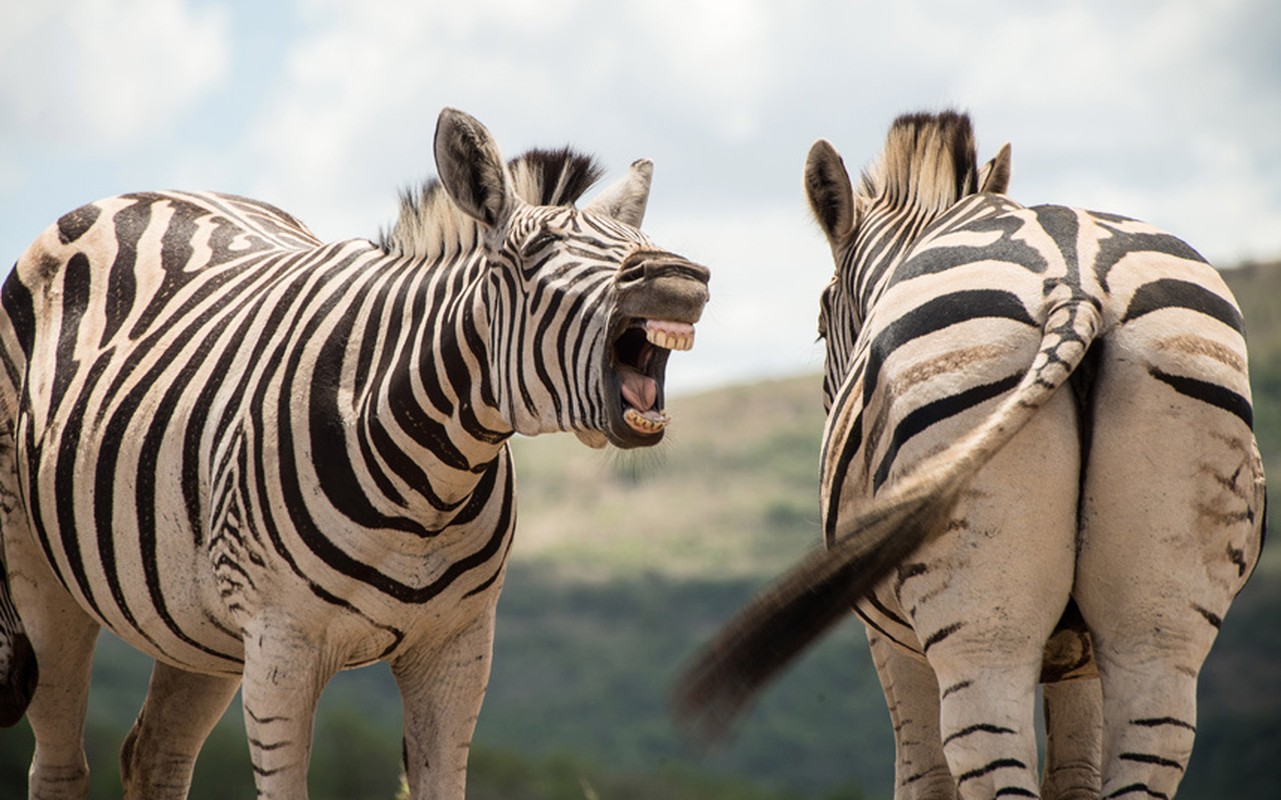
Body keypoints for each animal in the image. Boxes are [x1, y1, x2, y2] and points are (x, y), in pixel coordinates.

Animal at [0, 107, 712, 798]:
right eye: (535, 252)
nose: (679, 277)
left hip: (198, 627)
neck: (431, 488)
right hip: (41, 577)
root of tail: (141, 192)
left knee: (154, 756)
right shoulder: (281, 649)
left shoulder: (458, 650)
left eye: (641, 247)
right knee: (59, 765)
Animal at [676, 109, 1265, 793]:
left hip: (982, 632)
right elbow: (1075, 776)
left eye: (822, 327)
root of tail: (1077, 285)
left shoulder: (893, 644)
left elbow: (923, 778)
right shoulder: (1085, 659)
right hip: (1158, 616)